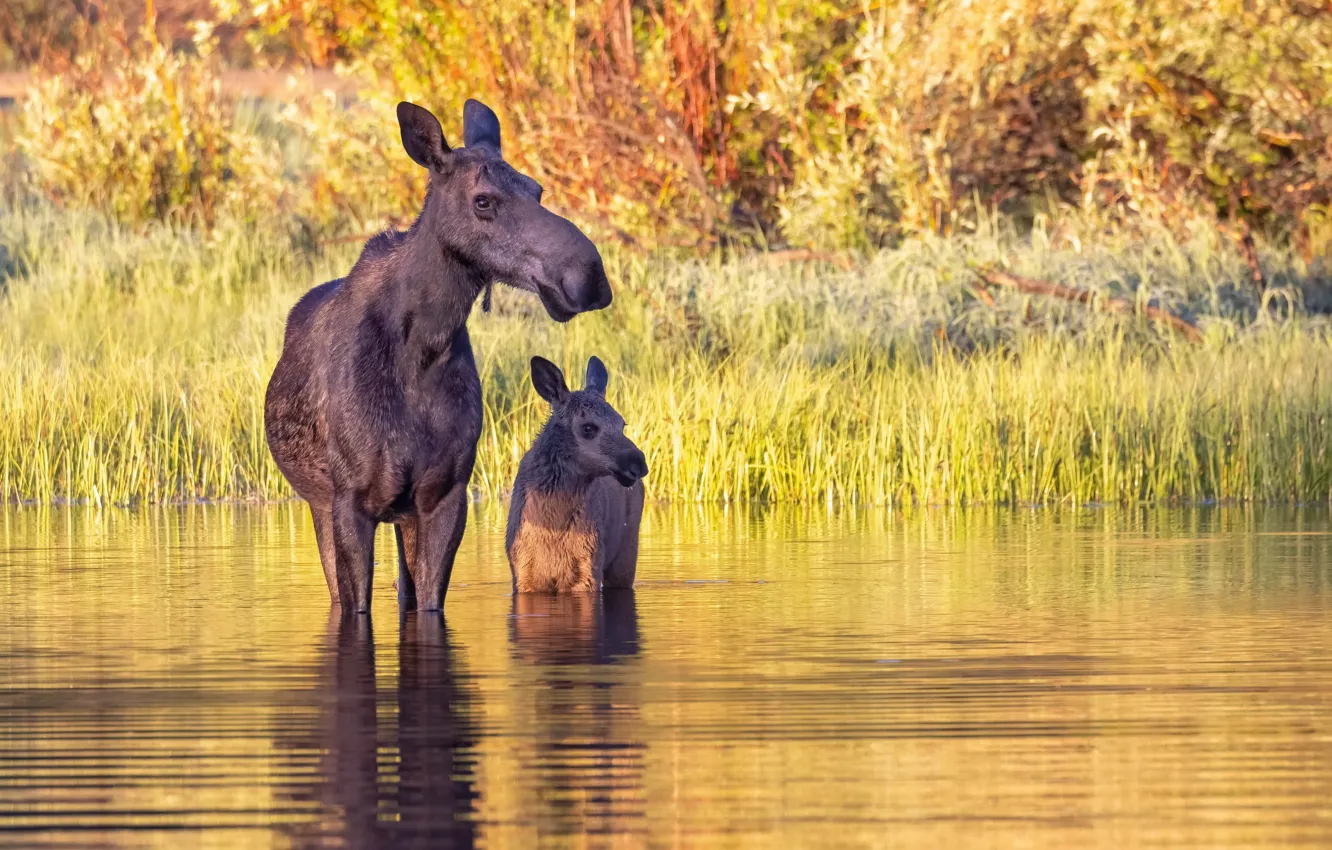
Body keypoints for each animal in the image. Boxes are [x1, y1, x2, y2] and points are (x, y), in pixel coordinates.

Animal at [264, 100, 613, 614]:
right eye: (483, 200)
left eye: (537, 189)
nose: (589, 276)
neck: (422, 350)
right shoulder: (350, 502)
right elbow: (356, 604)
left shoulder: (445, 497)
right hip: (321, 505)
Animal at [506, 356, 648, 593]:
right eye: (588, 428)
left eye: (622, 423)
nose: (639, 464)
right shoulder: (524, 575)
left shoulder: (588, 571)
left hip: (625, 558)